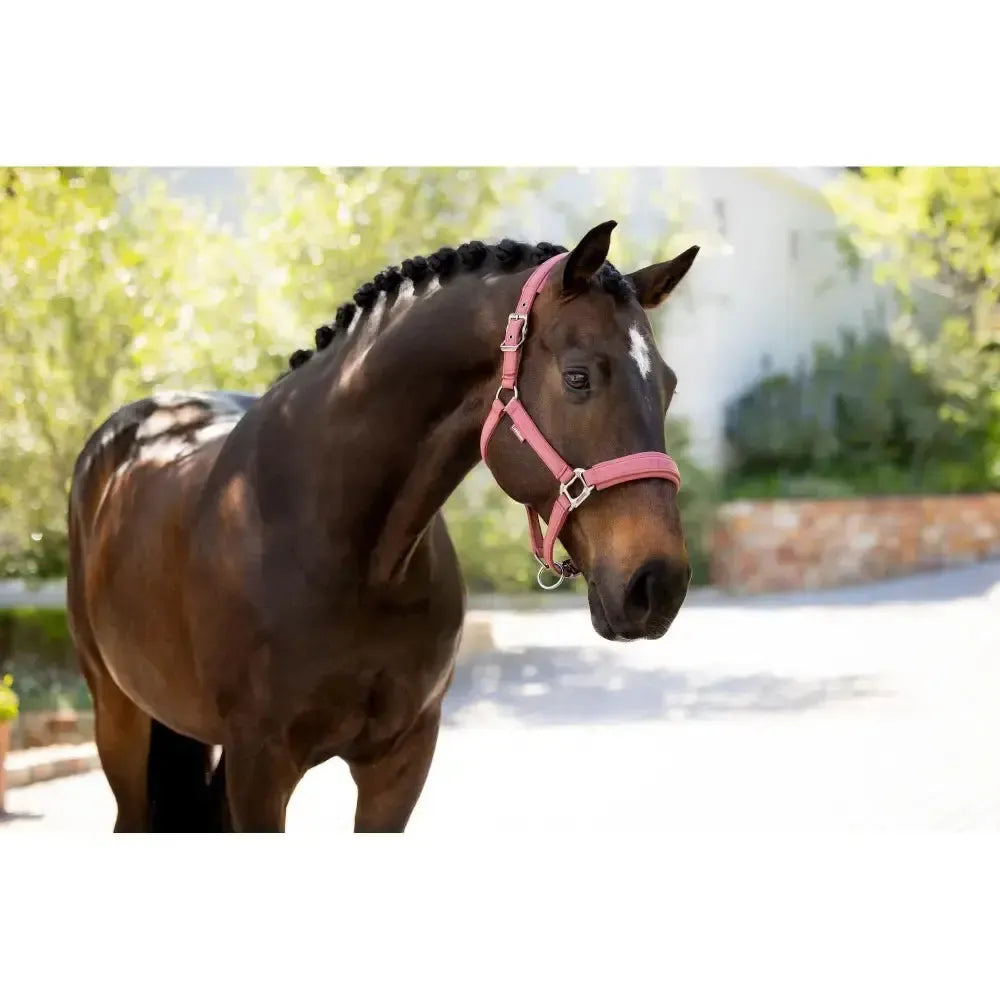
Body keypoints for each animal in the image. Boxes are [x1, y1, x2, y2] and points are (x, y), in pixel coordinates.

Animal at [65, 220, 699, 833]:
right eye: (577, 378)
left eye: (669, 387)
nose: (658, 584)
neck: (347, 551)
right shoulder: (259, 766)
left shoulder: (401, 759)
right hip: (118, 716)